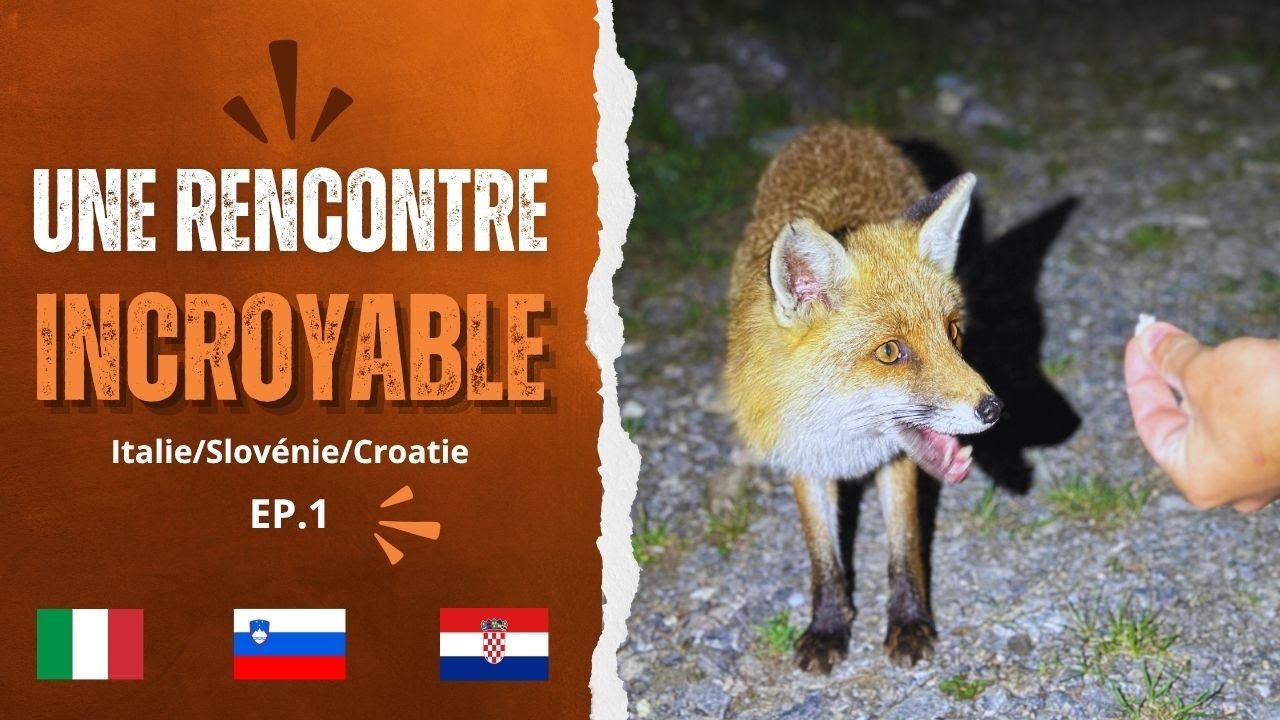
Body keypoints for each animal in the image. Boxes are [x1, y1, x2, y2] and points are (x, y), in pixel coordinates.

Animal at [725, 123, 1003, 672]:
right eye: (891, 351)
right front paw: (828, 627)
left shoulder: (898, 462)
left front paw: (910, 624)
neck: (846, 439)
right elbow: (824, 557)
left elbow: (904, 547)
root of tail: (834, 127)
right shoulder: (803, 459)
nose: (992, 409)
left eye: (952, 332)